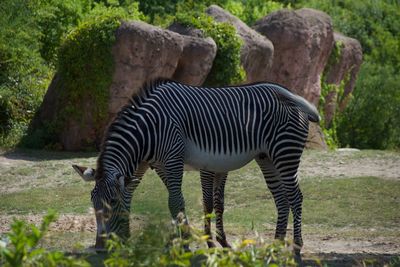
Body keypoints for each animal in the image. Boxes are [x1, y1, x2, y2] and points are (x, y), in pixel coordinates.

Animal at [72, 78, 318, 256]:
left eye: (111, 202)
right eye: (92, 201)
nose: (100, 248)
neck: (147, 132)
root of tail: (293, 96)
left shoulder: (172, 159)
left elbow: (175, 202)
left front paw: (184, 243)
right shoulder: (150, 164)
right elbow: (155, 200)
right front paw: (132, 238)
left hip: (285, 152)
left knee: (295, 197)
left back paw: (296, 247)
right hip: (267, 157)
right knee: (281, 199)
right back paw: (275, 245)